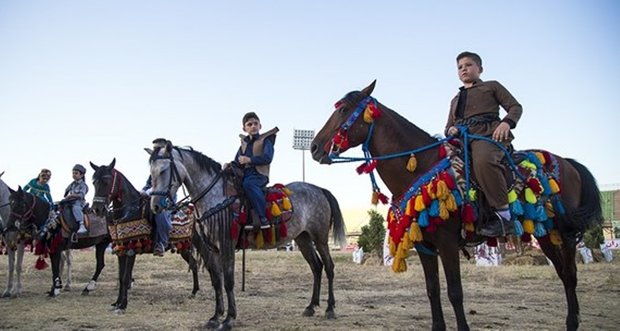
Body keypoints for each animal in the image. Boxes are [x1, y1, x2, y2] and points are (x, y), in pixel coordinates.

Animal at [91, 159, 201, 314]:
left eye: (106, 181)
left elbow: (125, 277)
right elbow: (121, 277)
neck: (129, 211)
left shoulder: (131, 249)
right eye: (94, 182)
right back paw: (194, 291)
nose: (96, 209)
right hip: (185, 247)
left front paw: (123, 305)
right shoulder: (121, 249)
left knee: (197, 263)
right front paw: (117, 303)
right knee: (194, 264)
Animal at [147, 141, 346, 330]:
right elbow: (216, 281)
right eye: (151, 173)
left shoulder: (226, 244)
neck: (216, 197)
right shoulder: (212, 249)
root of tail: (319, 189)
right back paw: (311, 307)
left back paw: (330, 308)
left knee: (328, 267)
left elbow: (228, 281)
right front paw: (215, 317)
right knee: (316, 267)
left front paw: (228, 319)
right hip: (303, 239)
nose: (155, 205)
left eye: (163, 171)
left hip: (320, 238)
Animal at [312, 80, 604, 331]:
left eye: (345, 110)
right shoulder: (424, 246)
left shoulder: (448, 243)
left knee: (570, 274)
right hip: (544, 233)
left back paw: (572, 322)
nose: (314, 147)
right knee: (564, 273)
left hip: (564, 233)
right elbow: (433, 291)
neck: (421, 164)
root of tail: (567, 163)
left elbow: (455, 292)